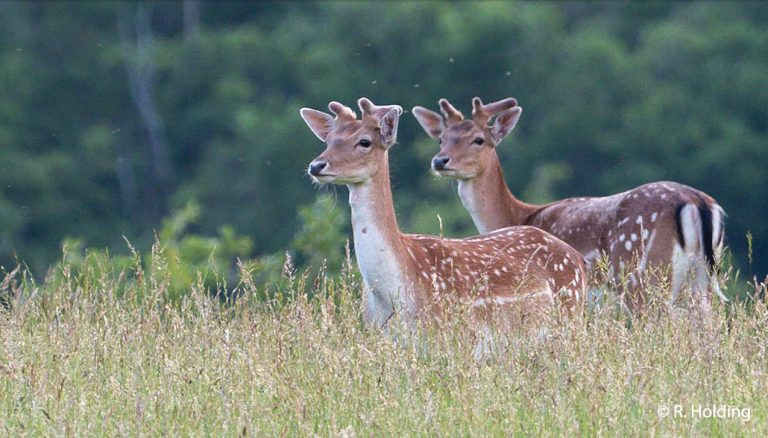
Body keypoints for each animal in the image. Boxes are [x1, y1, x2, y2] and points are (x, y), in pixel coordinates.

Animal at [300, 97, 588, 344]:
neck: (392, 291)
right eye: (328, 140)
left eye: (364, 142)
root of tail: (578, 260)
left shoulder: (449, 336)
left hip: (570, 316)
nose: (316, 165)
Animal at [414, 97, 728, 314]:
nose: (440, 161)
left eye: (479, 139)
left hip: (642, 273)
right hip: (701, 278)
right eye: (441, 139)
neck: (518, 214)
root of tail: (696, 201)